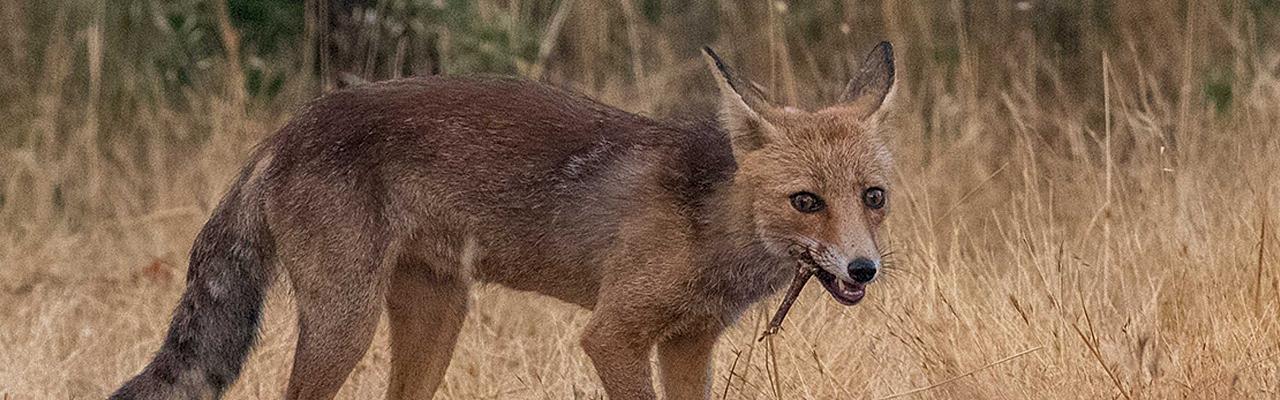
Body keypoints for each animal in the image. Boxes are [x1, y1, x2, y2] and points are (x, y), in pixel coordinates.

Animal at [112, 41, 901, 400]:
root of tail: (287, 129)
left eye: (873, 197)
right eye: (806, 201)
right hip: (346, 323)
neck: (711, 225)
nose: (864, 269)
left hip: (438, 316)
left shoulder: (689, 341)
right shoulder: (613, 334)